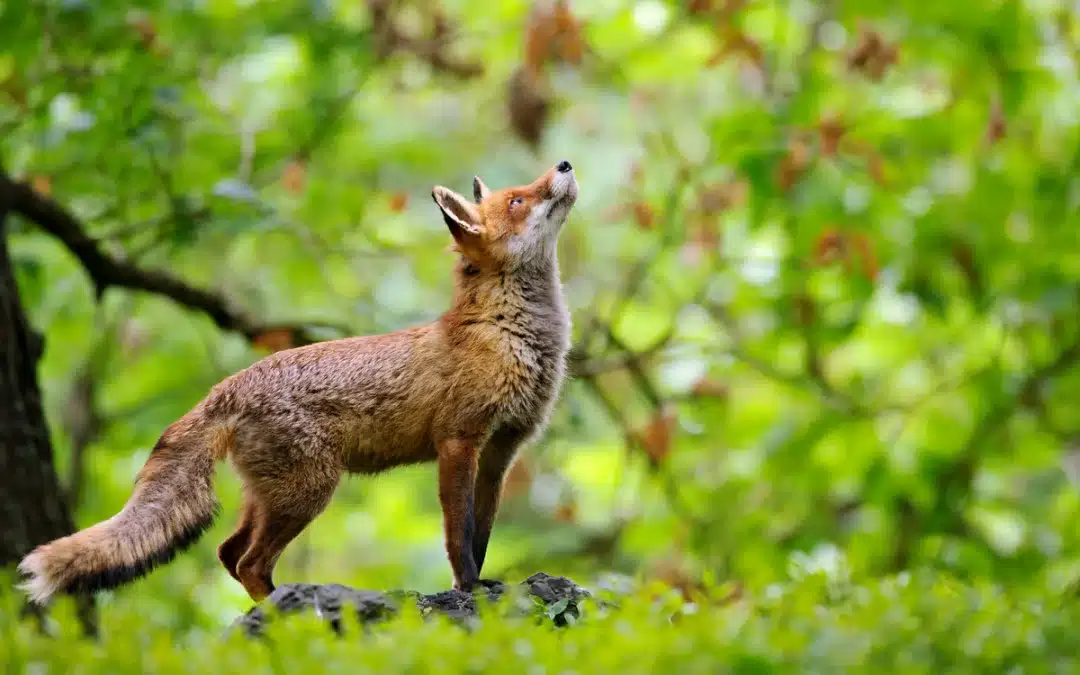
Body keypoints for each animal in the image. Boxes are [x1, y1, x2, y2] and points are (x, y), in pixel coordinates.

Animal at [18, 160, 578, 605]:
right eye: (518, 200)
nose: (565, 165)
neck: (509, 334)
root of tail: (229, 386)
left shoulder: (501, 451)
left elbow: (481, 534)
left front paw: (484, 585)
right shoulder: (458, 441)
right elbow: (458, 538)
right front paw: (466, 589)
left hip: (272, 496)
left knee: (227, 553)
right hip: (308, 492)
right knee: (248, 562)